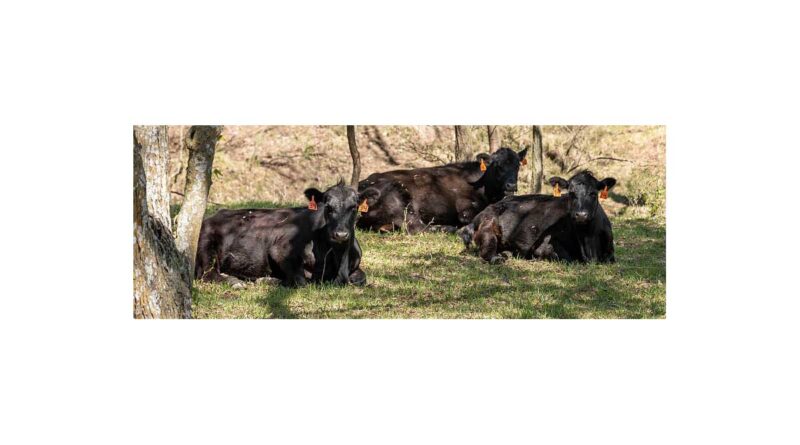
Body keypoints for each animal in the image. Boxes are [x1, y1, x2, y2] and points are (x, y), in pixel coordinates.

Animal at [194, 181, 367, 287]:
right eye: (328, 207)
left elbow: (362, 278)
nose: (340, 235)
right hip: (206, 245)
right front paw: (268, 280)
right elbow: (301, 281)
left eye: (354, 207)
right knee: (207, 274)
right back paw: (235, 281)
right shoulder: (280, 250)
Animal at [356, 147, 528, 234]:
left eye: (517, 165)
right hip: (402, 204)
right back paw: (449, 228)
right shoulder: (465, 211)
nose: (511, 185)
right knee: (416, 228)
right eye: (498, 166)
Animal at [457, 171, 617, 264]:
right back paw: (499, 257)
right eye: (571, 193)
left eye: (593, 193)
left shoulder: (611, 255)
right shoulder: (546, 246)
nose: (581, 215)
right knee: (487, 251)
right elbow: (566, 258)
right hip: (488, 225)